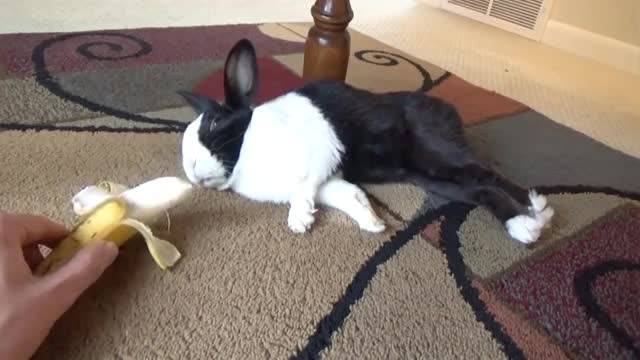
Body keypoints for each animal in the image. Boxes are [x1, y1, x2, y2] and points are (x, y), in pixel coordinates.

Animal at [178, 38, 552, 243]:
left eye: (215, 121)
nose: (191, 171)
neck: (245, 151)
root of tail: (448, 109)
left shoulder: (319, 158)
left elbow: (303, 188)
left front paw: (299, 220)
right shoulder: (330, 180)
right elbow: (348, 197)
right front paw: (373, 223)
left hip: (439, 149)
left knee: (488, 174)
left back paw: (535, 210)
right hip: (427, 176)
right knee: (479, 190)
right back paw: (524, 226)